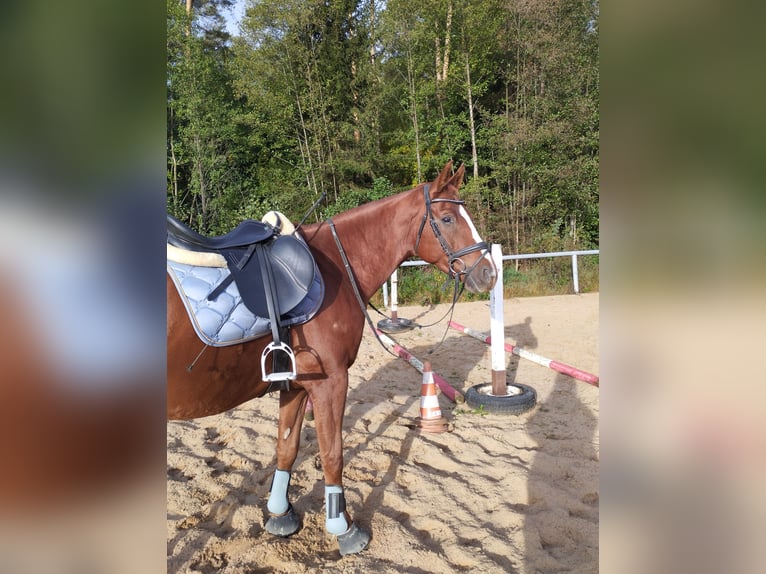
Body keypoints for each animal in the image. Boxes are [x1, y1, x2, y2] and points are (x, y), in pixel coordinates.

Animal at [168, 162, 498, 560]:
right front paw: (344, 529)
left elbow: (287, 447)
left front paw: (281, 515)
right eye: (448, 218)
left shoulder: (296, 384)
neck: (336, 266)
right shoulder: (331, 382)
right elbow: (332, 454)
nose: (489, 273)